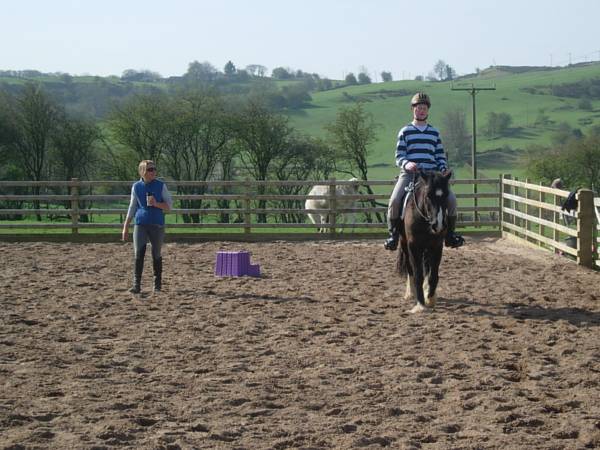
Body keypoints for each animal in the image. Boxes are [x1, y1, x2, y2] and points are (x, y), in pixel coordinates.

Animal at [396, 170, 451, 314]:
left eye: (446, 195)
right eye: (428, 196)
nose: (438, 225)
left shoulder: (437, 246)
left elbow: (433, 275)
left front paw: (430, 299)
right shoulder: (414, 246)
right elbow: (418, 275)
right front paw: (420, 304)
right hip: (404, 244)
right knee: (410, 268)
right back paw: (411, 293)